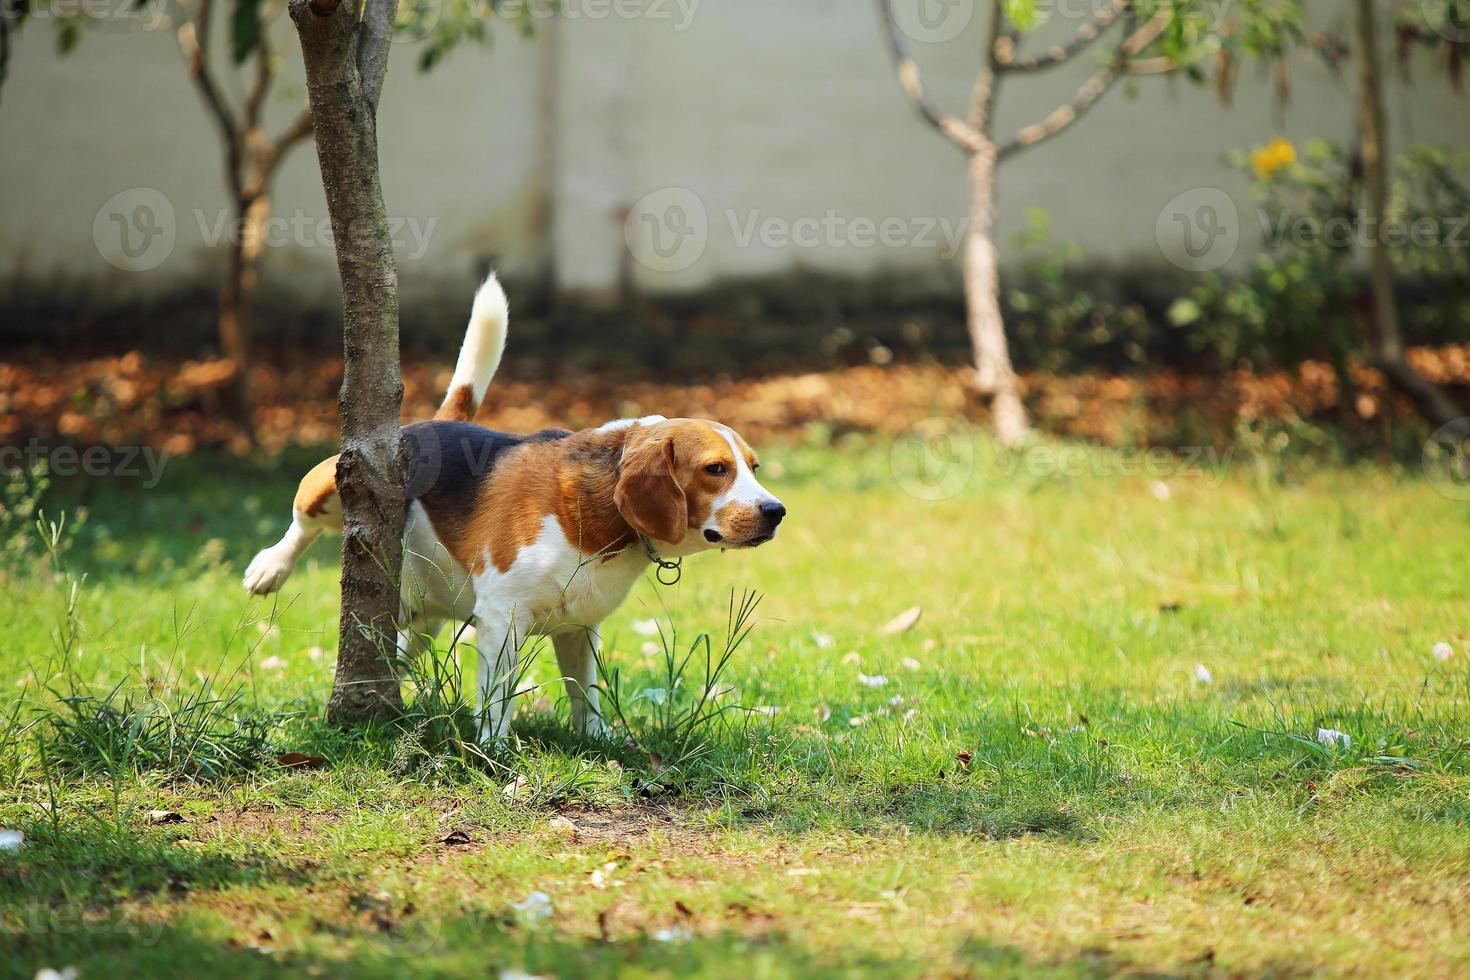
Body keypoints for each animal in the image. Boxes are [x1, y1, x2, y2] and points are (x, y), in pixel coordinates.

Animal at [244, 276, 782, 743]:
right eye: (715, 469)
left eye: (754, 466)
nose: (776, 511)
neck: (601, 513)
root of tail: (433, 423)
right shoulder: (502, 619)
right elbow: (497, 698)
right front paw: (495, 750)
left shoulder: (578, 628)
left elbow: (585, 693)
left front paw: (598, 740)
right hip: (333, 482)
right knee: (302, 522)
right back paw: (270, 567)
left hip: (423, 617)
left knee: (403, 649)